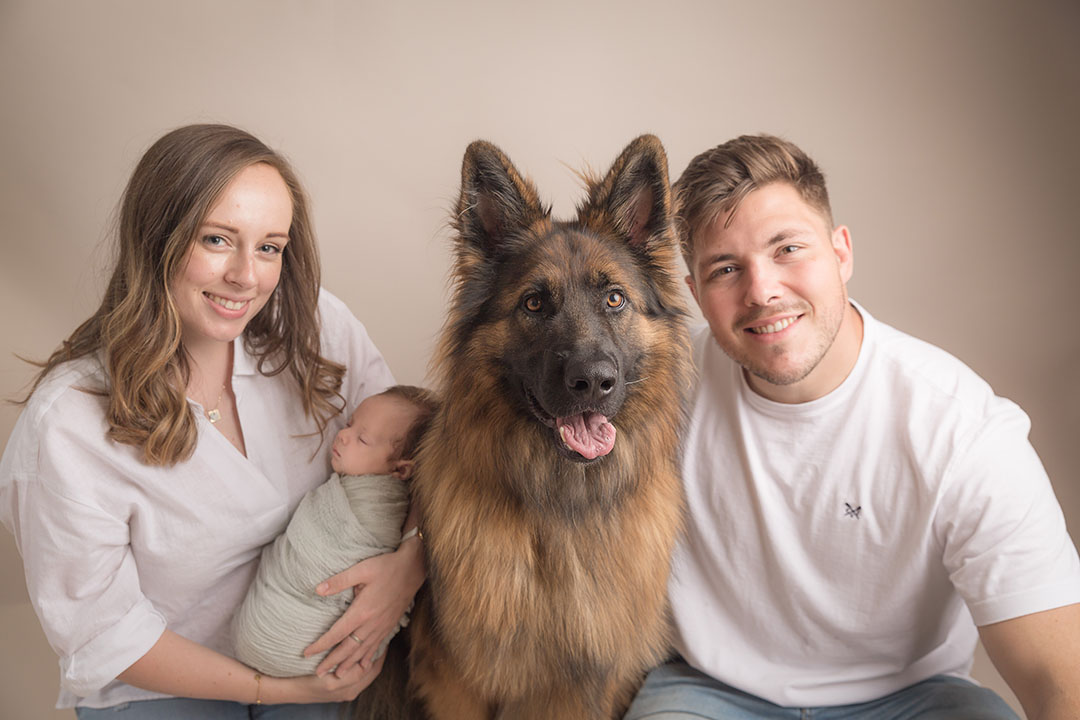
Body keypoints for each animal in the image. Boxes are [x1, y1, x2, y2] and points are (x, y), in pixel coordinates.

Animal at [401, 136, 686, 720]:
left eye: (614, 298)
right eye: (534, 303)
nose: (593, 381)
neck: (564, 512)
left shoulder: (597, 680)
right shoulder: (458, 680)